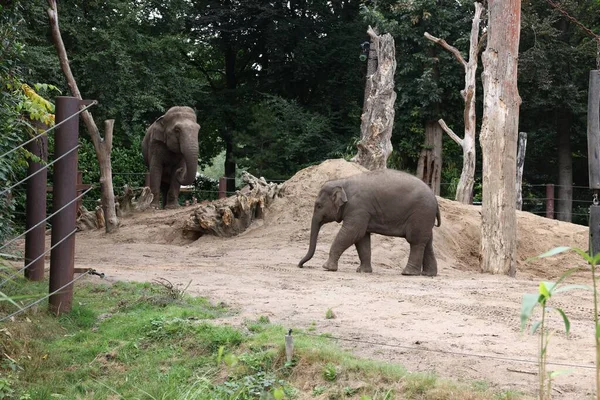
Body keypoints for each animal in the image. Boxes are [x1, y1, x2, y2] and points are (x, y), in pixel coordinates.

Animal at [296, 169, 440, 276]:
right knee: (427, 242)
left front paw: (327, 267)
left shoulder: (358, 207)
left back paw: (408, 273)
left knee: (415, 241)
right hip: (425, 218)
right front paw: (363, 271)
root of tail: (435, 199)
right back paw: (428, 274)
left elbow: (352, 233)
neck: (343, 181)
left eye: (319, 206)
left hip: (420, 214)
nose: (300, 265)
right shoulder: (362, 212)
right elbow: (362, 239)